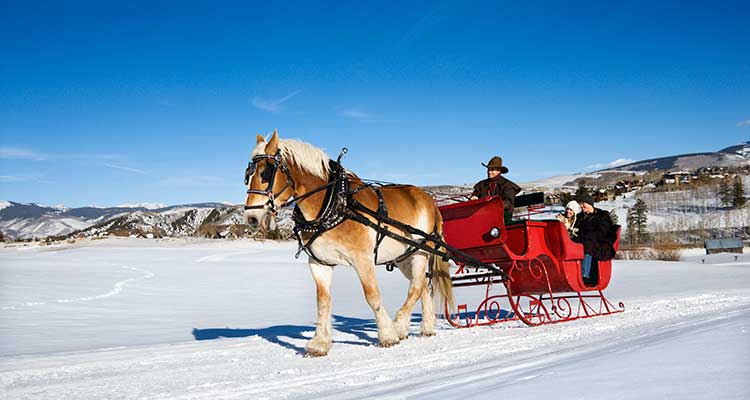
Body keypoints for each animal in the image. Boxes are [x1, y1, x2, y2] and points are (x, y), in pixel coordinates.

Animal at [247, 129, 456, 356]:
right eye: (248, 174)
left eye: (265, 173)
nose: (251, 218)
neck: (334, 203)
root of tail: (430, 201)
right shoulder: (319, 264)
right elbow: (323, 301)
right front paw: (319, 343)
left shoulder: (362, 259)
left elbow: (372, 295)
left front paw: (387, 334)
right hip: (404, 257)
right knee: (423, 286)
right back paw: (427, 327)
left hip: (420, 252)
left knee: (416, 287)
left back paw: (399, 326)